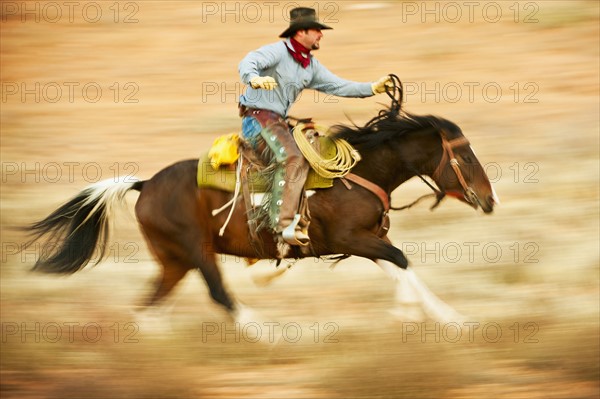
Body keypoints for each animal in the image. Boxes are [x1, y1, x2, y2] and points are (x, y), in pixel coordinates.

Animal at [24, 105, 496, 322]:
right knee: (219, 294)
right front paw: (436, 316)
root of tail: (145, 185)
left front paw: (432, 316)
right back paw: (271, 335)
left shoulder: (369, 240)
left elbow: (398, 266)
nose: (490, 200)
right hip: (195, 250)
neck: (357, 175)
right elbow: (400, 261)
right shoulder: (352, 239)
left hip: (173, 260)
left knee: (150, 307)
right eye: (465, 156)